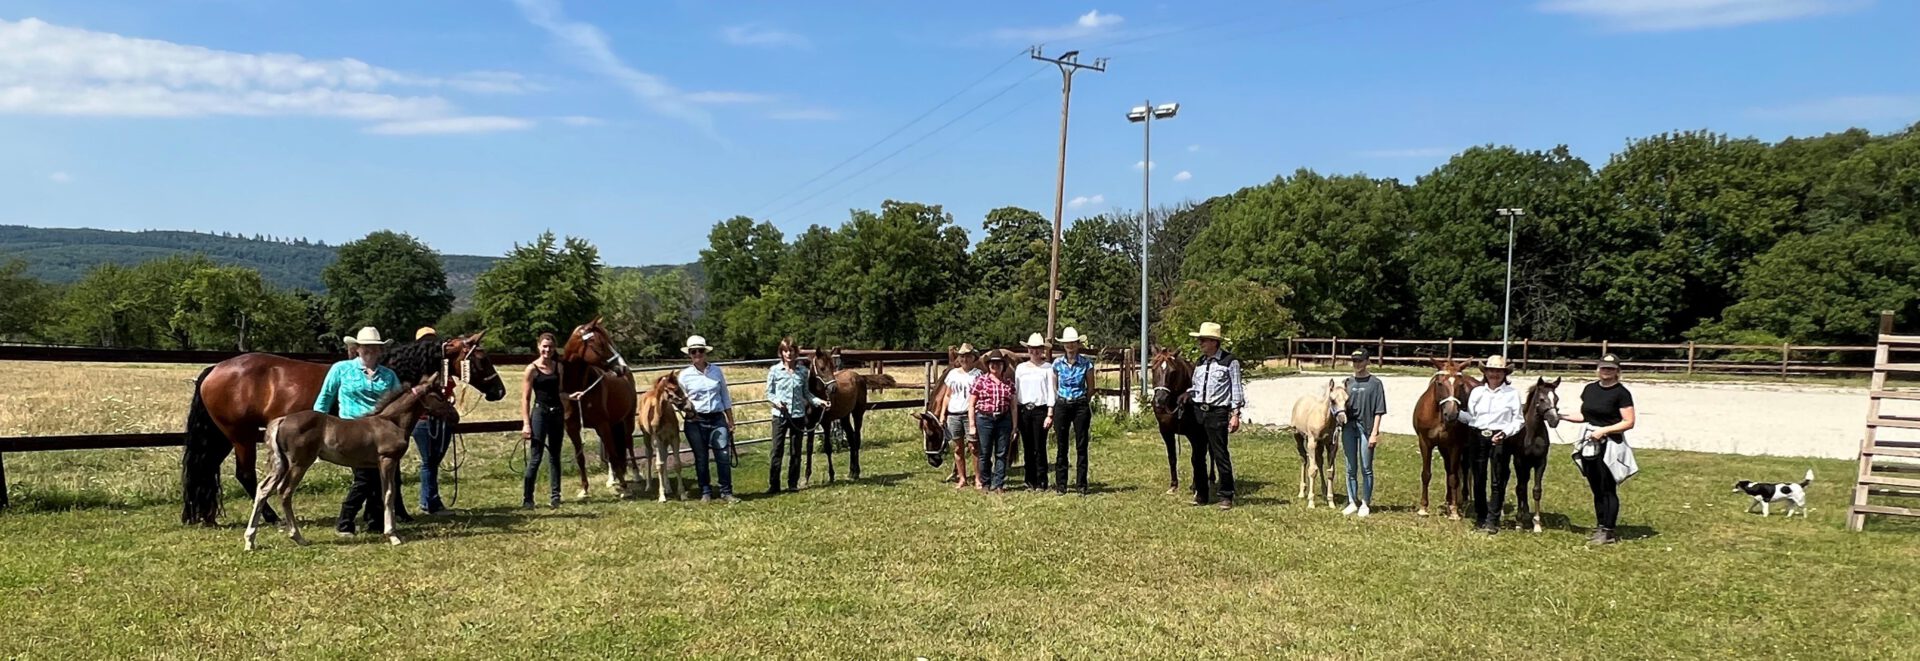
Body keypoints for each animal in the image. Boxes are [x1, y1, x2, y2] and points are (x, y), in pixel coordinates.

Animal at [180, 332, 506, 522]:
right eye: (481, 358)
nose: (499, 391)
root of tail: (216, 368)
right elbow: (394, 479)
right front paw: (398, 514)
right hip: (242, 436)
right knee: (246, 475)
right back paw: (271, 517)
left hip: (222, 438)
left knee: (207, 471)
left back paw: (205, 516)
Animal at [243, 380, 453, 549]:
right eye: (438, 397)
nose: (455, 416)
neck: (392, 422)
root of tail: (282, 419)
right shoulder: (387, 460)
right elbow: (389, 494)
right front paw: (393, 535)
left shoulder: (377, 465)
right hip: (299, 464)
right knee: (285, 492)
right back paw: (298, 537)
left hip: (282, 464)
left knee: (263, 489)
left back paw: (250, 540)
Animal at [560, 317, 641, 499]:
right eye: (601, 343)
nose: (622, 367)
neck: (579, 391)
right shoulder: (572, 428)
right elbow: (581, 458)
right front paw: (584, 489)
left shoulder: (602, 425)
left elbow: (614, 454)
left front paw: (625, 488)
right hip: (611, 425)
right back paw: (612, 479)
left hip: (628, 420)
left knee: (628, 443)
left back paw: (636, 475)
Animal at [1413, 359, 1482, 518]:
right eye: (1439, 383)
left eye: (1460, 385)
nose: (1452, 414)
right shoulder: (1425, 443)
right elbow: (1426, 474)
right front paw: (1423, 508)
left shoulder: (1456, 446)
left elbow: (1453, 477)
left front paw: (1454, 511)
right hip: (1444, 448)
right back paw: (1449, 500)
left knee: (1465, 470)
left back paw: (1462, 500)